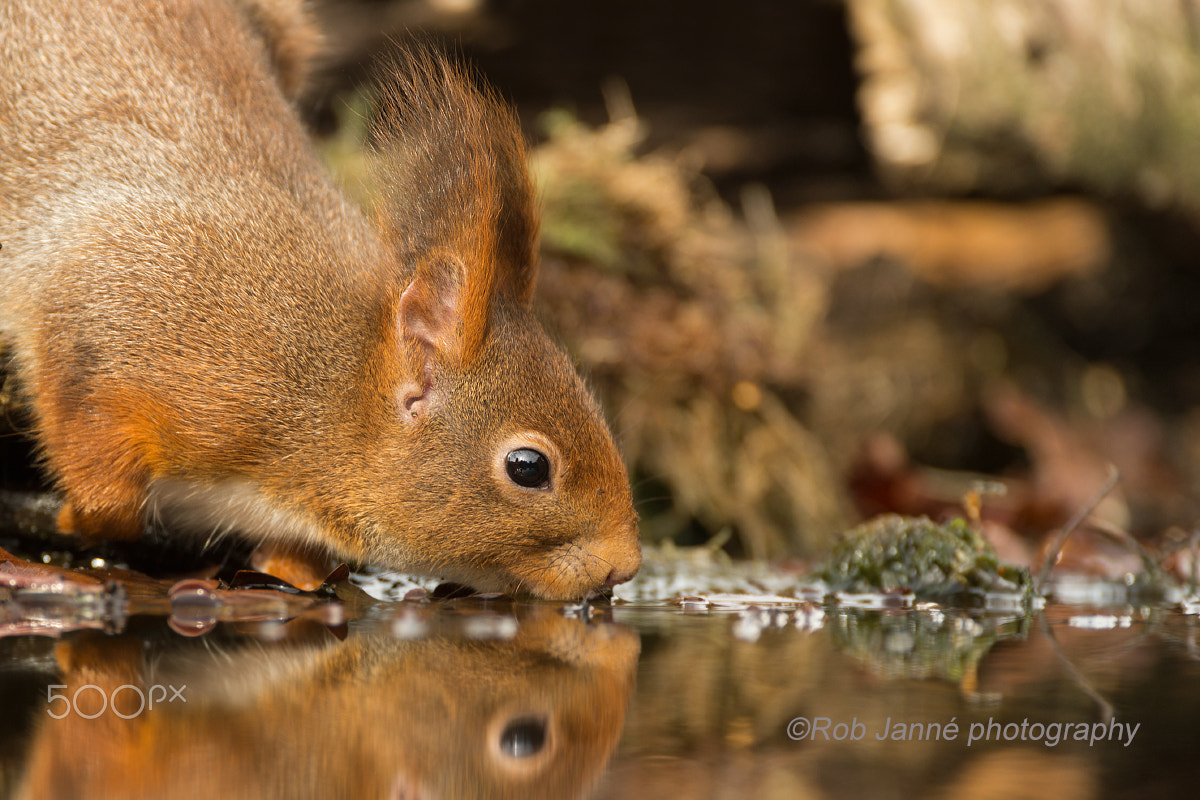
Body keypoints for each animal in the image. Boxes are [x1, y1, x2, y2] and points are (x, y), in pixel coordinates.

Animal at [0, 0, 643, 599]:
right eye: (528, 468)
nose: (625, 566)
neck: (327, 388)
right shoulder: (125, 313)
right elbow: (93, 450)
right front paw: (73, 518)